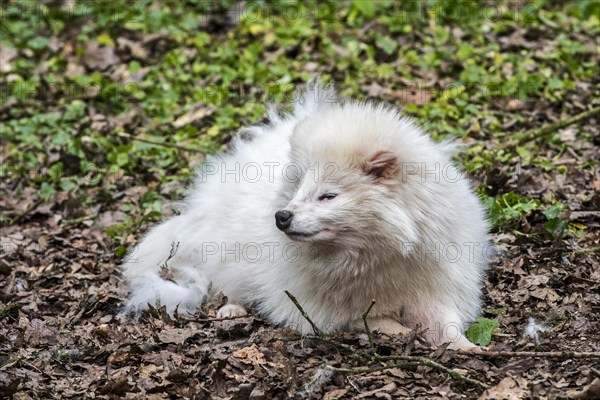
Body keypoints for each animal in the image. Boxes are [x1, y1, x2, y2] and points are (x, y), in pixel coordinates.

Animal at [122, 81, 492, 350]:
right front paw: (401, 332)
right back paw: (232, 309)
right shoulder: (325, 308)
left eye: (327, 196)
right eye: (298, 189)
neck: (374, 253)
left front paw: (467, 348)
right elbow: (375, 322)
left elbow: (444, 322)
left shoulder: (432, 287)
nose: (281, 216)